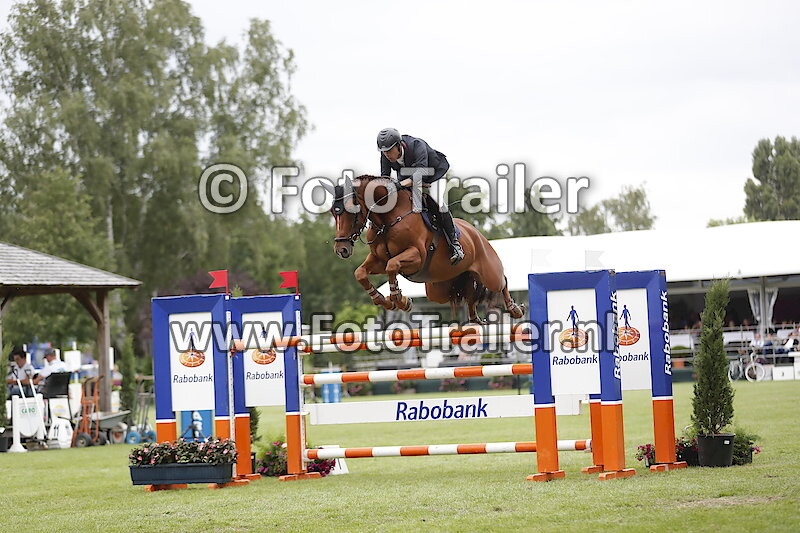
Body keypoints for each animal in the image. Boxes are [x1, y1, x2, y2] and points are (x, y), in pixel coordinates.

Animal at [327, 175, 524, 323]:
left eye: (351, 211)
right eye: (332, 213)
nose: (341, 249)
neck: (387, 220)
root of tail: (476, 233)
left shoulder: (417, 256)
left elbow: (392, 265)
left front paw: (400, 300)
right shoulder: (378, 260)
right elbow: (360, 273)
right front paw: (384, 300)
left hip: (489, 272)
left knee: (502, 281)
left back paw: (515, 309)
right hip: (441, 290)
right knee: (470, 293)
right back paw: (474, 316)